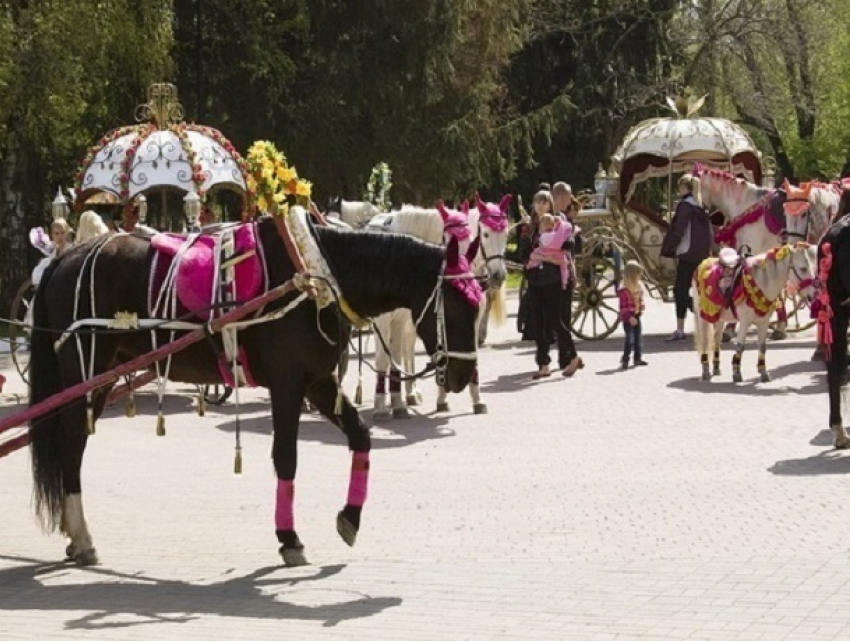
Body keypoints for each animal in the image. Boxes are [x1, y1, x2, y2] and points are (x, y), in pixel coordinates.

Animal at [29, 219, 480, 564]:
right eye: (458, 306)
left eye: (478, 304)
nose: (462, 374)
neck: (316, 276)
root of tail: (65, 257)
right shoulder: (288, 383)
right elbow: (286, 458)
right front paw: (289, 539)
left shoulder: (319, 383)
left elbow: (361, 437)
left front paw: (350, 517)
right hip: (86, 371)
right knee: (70, 445)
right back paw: (82, 536)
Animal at [692, 242, 820, 382]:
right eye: (803, 269)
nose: (814, 294)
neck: (760, 284)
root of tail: (703, 263)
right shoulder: (744, 322)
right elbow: (740, 346)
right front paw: (737, 373)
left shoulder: (763, 322)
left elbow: (762, 346)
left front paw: (763, 372)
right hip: (703, 316)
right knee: (704, 340)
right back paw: (705, 370)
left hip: (720, 318)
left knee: (717, 338)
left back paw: (716, 368)